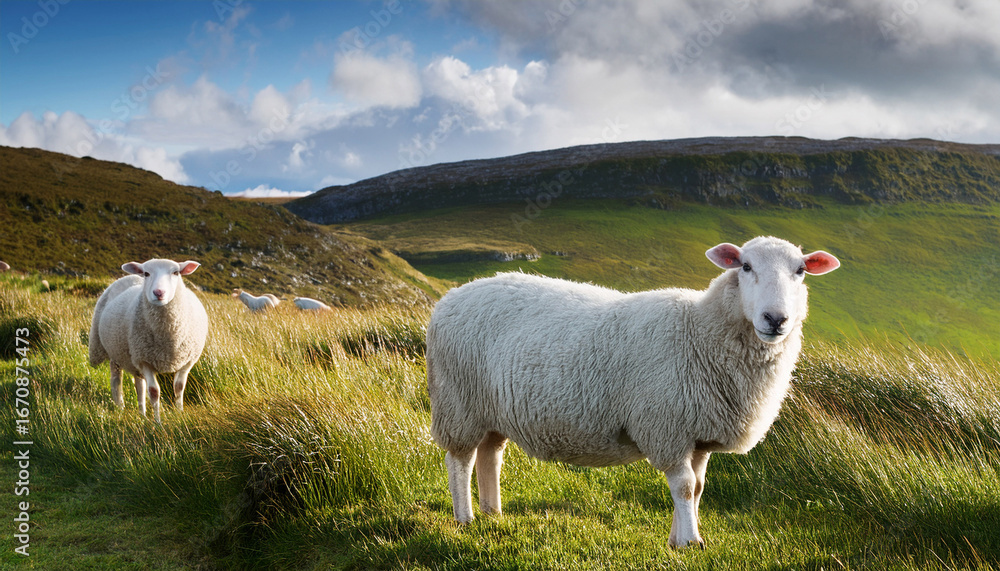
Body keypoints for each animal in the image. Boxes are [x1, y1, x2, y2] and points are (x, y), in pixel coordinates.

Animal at [89, 259, 209, 424]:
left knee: (139, 385)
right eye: (147, 273)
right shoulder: (145, 361)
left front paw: (179, 414)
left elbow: (179, 387)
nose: (159, 293)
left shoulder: (187, 361)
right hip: (115, 352)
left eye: (176, 272)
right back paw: (120, 407)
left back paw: (142, 414)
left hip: (133, 358)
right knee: (116, 380)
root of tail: (129, 276)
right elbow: (154, 391)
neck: (167, 336)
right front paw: (158, 422)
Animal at [426, 236, 839, 548]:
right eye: (746, 266)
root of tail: (450, 298)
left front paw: (677, 539)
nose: (775, 319)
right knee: (460, 459)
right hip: (457, 402)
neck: (699, 332)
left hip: (491, 409)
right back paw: (465, 518)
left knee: (490, 456)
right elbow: (685, 487)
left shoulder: (698, 435)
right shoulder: (667, 428)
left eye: (800, 271)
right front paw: (690, 543)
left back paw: (493, 514)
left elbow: (699, 488)